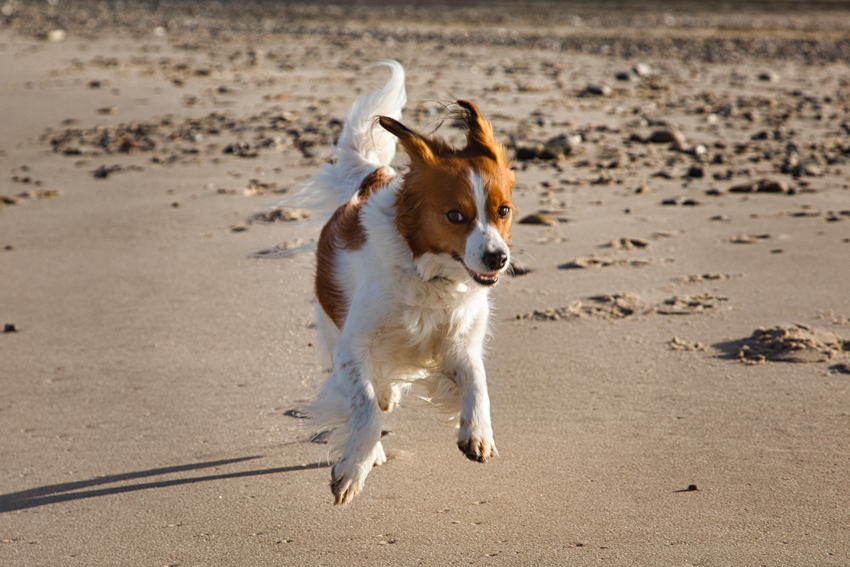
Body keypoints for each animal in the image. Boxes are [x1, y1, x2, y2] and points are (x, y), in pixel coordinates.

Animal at [306, 62, 516, 506]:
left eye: (503, 210)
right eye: (455, 216)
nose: (498, 258)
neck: (428, 274)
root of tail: (373, 176)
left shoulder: (459, 342)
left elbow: (478, 382)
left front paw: (477, 432)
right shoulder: (351, 348)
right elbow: (365, 409)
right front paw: (354, 467)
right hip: (332, 331)